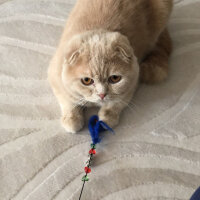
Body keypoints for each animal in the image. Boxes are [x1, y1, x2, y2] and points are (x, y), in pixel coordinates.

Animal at [47, 0, 173, 134]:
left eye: (115, 79)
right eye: (86, 80)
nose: (102, 95)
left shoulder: (133, 81)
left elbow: (117, 102)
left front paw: (107, 118)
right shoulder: (55, 77)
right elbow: (67, 100)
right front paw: (72, 119)